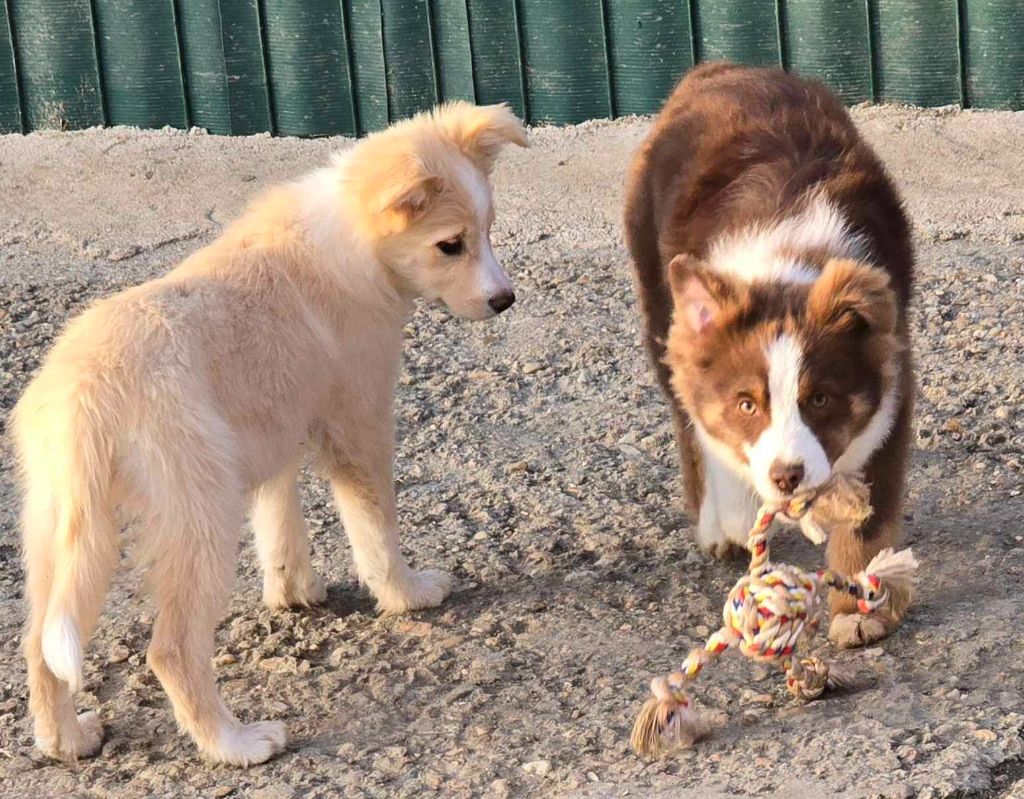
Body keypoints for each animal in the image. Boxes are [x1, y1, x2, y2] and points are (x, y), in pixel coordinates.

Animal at [12, 102, 528, 766]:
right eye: (450, 246)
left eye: (487, 230)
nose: (505, 300)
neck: (350, 244)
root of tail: (85, 398)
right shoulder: (360, 424)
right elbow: (376, 530)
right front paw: (407, 594)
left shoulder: (273, 432)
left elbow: (280, 520)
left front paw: (294, 591)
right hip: (199, 517)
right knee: (172, 648)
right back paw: (237, 744)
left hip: (63, 529)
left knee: (39, 644)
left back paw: (66, 740)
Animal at [626, 62, 917, 647]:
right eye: (747, 405)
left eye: (820, 400)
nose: (786, 478)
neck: (790, 264)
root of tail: (722, 67)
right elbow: (713, 433)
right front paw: (737, 520)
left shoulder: (892, 374)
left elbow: (868, 515)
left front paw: (861, 608)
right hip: (658, 295)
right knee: (684, 416)